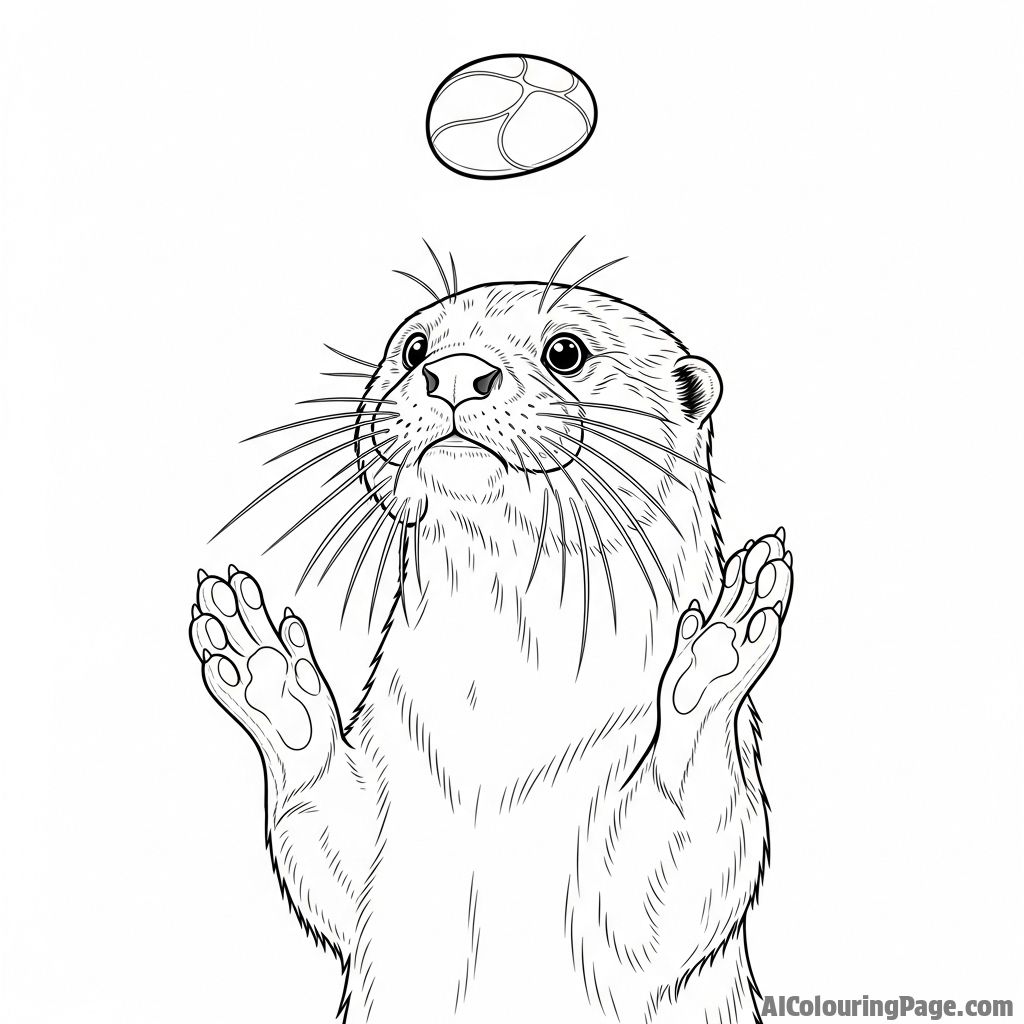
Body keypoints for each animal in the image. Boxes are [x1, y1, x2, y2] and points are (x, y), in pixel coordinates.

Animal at [189, 268, 793, 1024]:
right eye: (415, 347)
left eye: (565, 351)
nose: (452, 372)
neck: (495, 747)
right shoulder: (388, 813)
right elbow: (329, 856)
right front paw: (272, 677)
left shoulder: (643, 902)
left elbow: (684, 861)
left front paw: (714, 656)